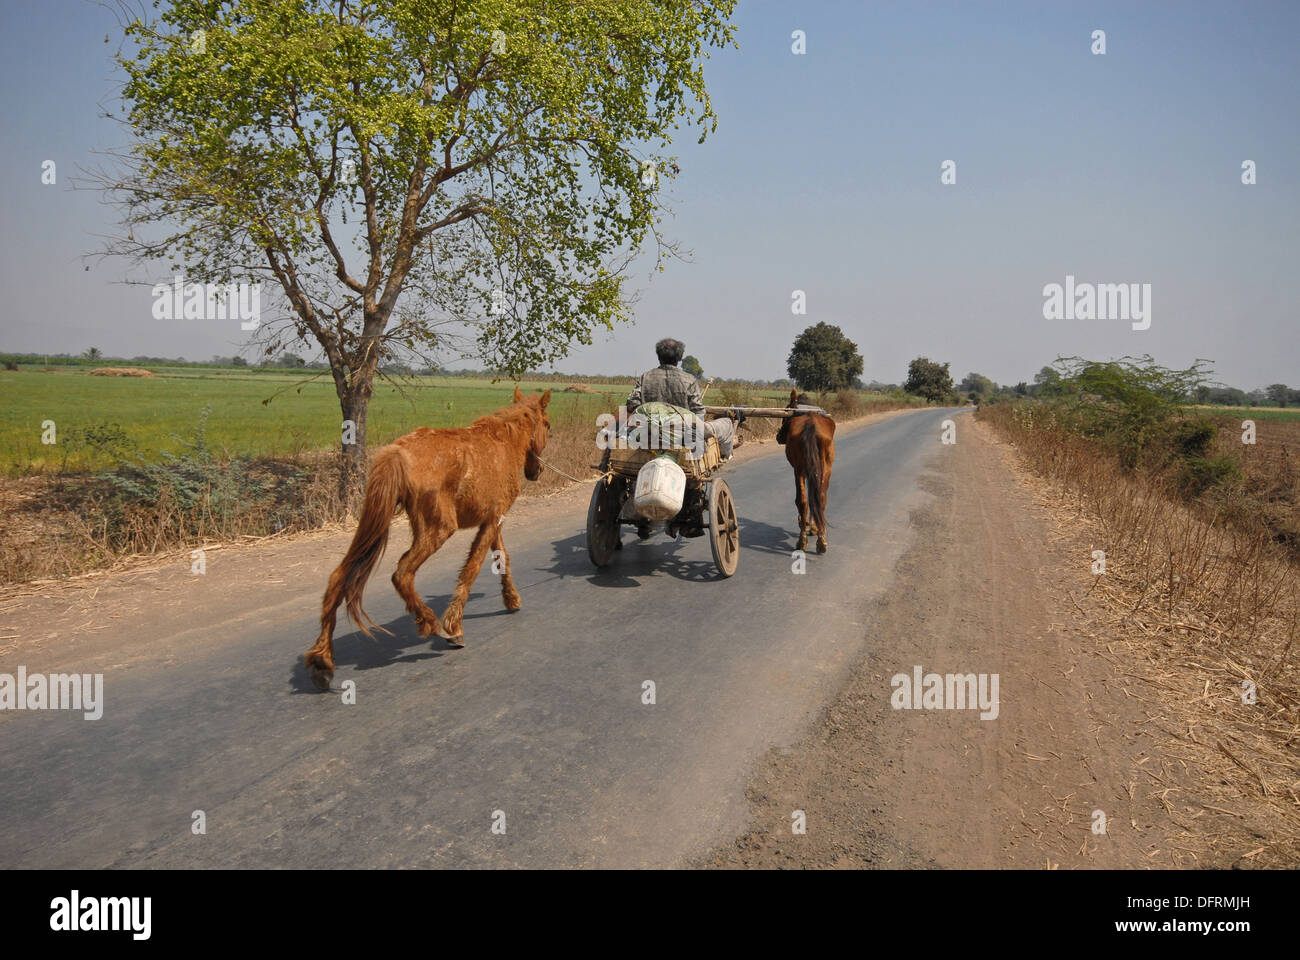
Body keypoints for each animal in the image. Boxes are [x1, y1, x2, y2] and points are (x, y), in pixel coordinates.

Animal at [303, 387, 551, 690]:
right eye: (547, 426)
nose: (536, 471)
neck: (505, 442)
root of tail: (399, 451)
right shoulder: (493, 520)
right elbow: (473, 568)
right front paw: (455, 625)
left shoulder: (492, 520)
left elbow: (501, 557)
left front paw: (512, 599)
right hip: (438, 529)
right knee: (402, 573)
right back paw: (433, 625)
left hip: (376, 526)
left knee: (339, 577)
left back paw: (322, 660)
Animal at [775, 389, 836, 553]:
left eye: (786, 412)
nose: (778, 436)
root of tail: (811, 425)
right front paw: (812, 527)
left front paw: (811, 526)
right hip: (822, 468)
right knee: (817, 498)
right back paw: (817, 540)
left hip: (801, 469)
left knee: (806, 500)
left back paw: (807, 539)